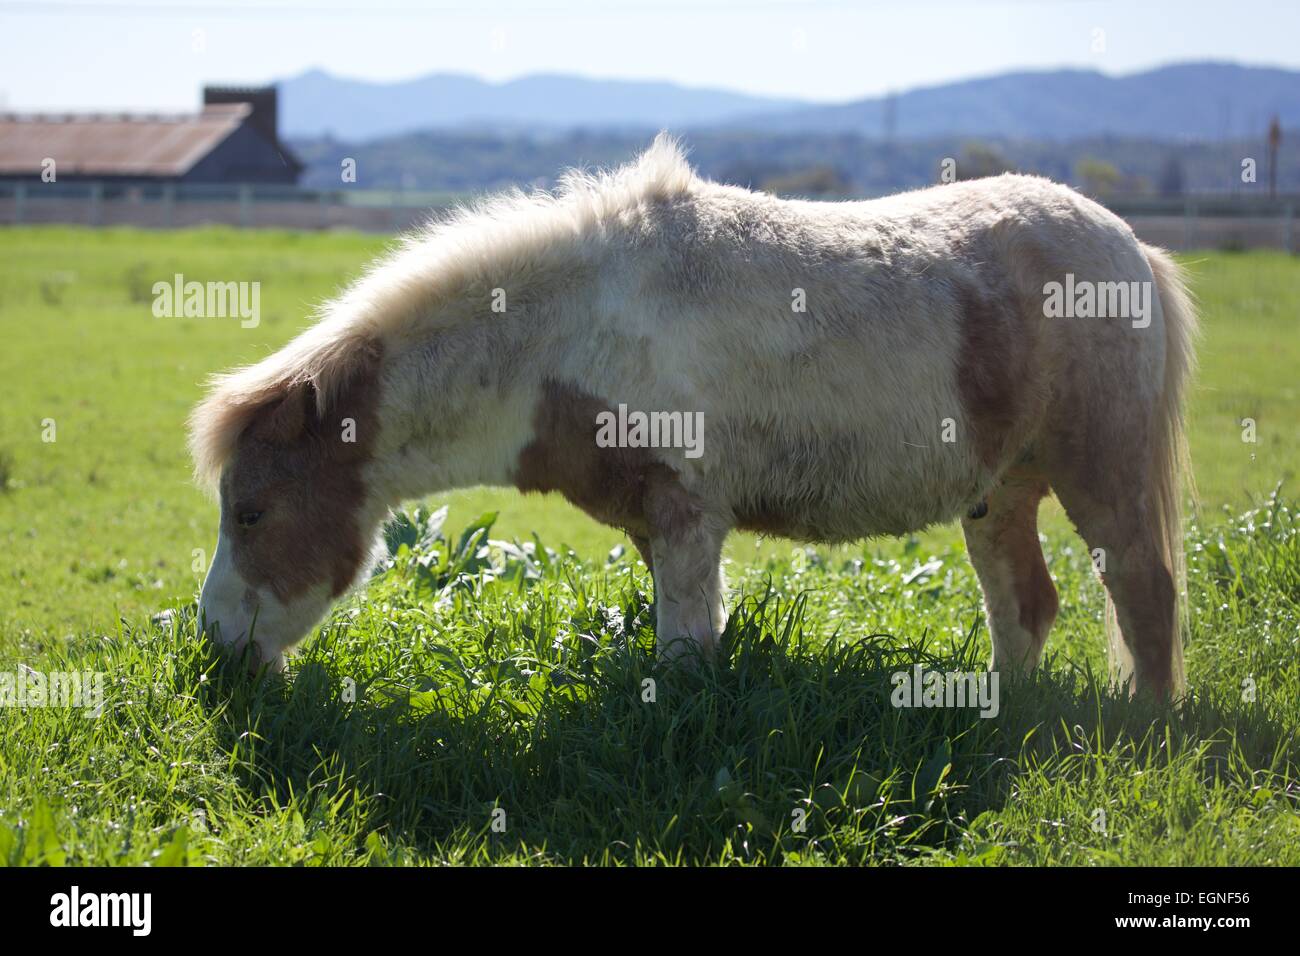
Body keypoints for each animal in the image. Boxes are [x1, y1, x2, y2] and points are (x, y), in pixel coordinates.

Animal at [191, 135, 1197, 697]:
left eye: (253, 511)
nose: (214, 648)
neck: (568, 334)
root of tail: (1133, 245)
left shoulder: (685, 514)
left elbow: (682, 654)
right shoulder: (659, 524)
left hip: (1099, 472)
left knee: (1144, 593)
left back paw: (1148, 728)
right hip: (1003, 490)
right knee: (1024, 602)